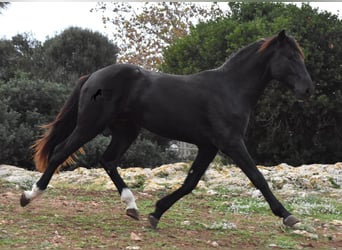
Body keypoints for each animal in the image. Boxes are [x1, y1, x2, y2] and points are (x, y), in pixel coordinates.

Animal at [20, 30, 312, 229]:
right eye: (289, 57)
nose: (307, 90)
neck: (229, 89)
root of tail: (92, 76)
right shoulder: (230, 142)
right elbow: (258, 177)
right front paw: (288, 216)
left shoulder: (209, 146)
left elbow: (190, 182)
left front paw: (155, 213)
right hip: (91, 125)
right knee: (60, 152)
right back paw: (29, 196)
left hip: (126, 131)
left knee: (108, 161)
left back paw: (132, 207)